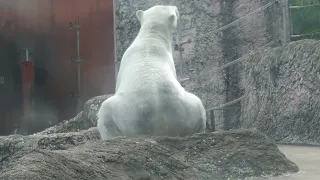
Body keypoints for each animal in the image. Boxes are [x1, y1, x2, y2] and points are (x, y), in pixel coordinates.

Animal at [97, 3, 206, 139]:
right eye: (171, 7)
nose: (176, 6)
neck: (151, 36)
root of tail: (159, 127)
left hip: (124, 113)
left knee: (105, 110)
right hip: (188, 109)